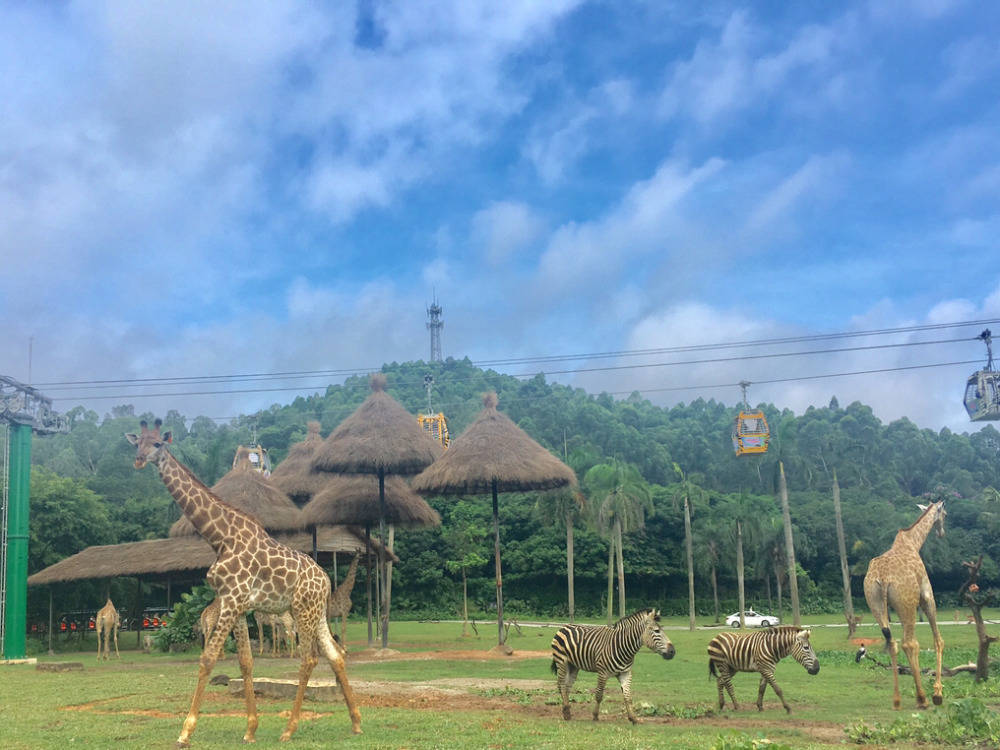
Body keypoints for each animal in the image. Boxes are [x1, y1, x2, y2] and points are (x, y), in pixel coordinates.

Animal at [124, 420, 360, 748]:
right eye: (137, 443)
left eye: (158, 444)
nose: (138, 460)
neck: (219, 537)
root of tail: (325, 579)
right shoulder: (235, 603)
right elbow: (245, 662)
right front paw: (250, 729)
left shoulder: (233, 599)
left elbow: (208, 659)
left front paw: (185, 732)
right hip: (315, 612)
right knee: (335, 655)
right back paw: (356, 723)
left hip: (303, 611)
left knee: (309, 658)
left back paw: (289, 729)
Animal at [864, 502, 948, 708]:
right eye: (945, 514)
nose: (941, 533)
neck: (912, 542)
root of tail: (883, 578)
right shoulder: (926, 596)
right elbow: (938, 640)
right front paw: (937, 693)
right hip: (907, 605)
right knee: (909, 643)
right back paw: (922, 698)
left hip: (877, 604)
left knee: (893, 642)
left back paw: (897, 700)